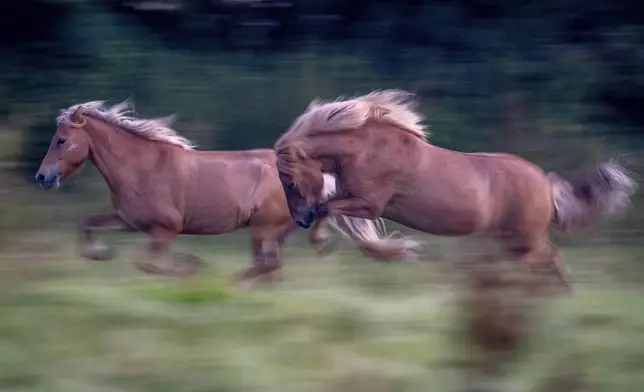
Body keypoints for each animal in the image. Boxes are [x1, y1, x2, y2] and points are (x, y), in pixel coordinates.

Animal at [35, 99, 410, 280]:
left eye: (61, 140)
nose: (43, 177)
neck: (142, 167)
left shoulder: (164, 229)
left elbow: (146, 263)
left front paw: (191, 268)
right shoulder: (128, 221)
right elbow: (88, 225)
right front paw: (99, 253)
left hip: (263, 228)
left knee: (267, 267)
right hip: (273, 231)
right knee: (271, 269)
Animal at [272, 90, 632, 290]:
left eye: (290, 181)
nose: (300, 218)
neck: (367, 149)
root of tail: (546, 183)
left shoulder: (369, 204)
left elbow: (328, 208)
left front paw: (322, 244)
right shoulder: (357, 201)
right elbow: (331, 209)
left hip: (524, 241)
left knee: (552, 262)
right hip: (515, 242)